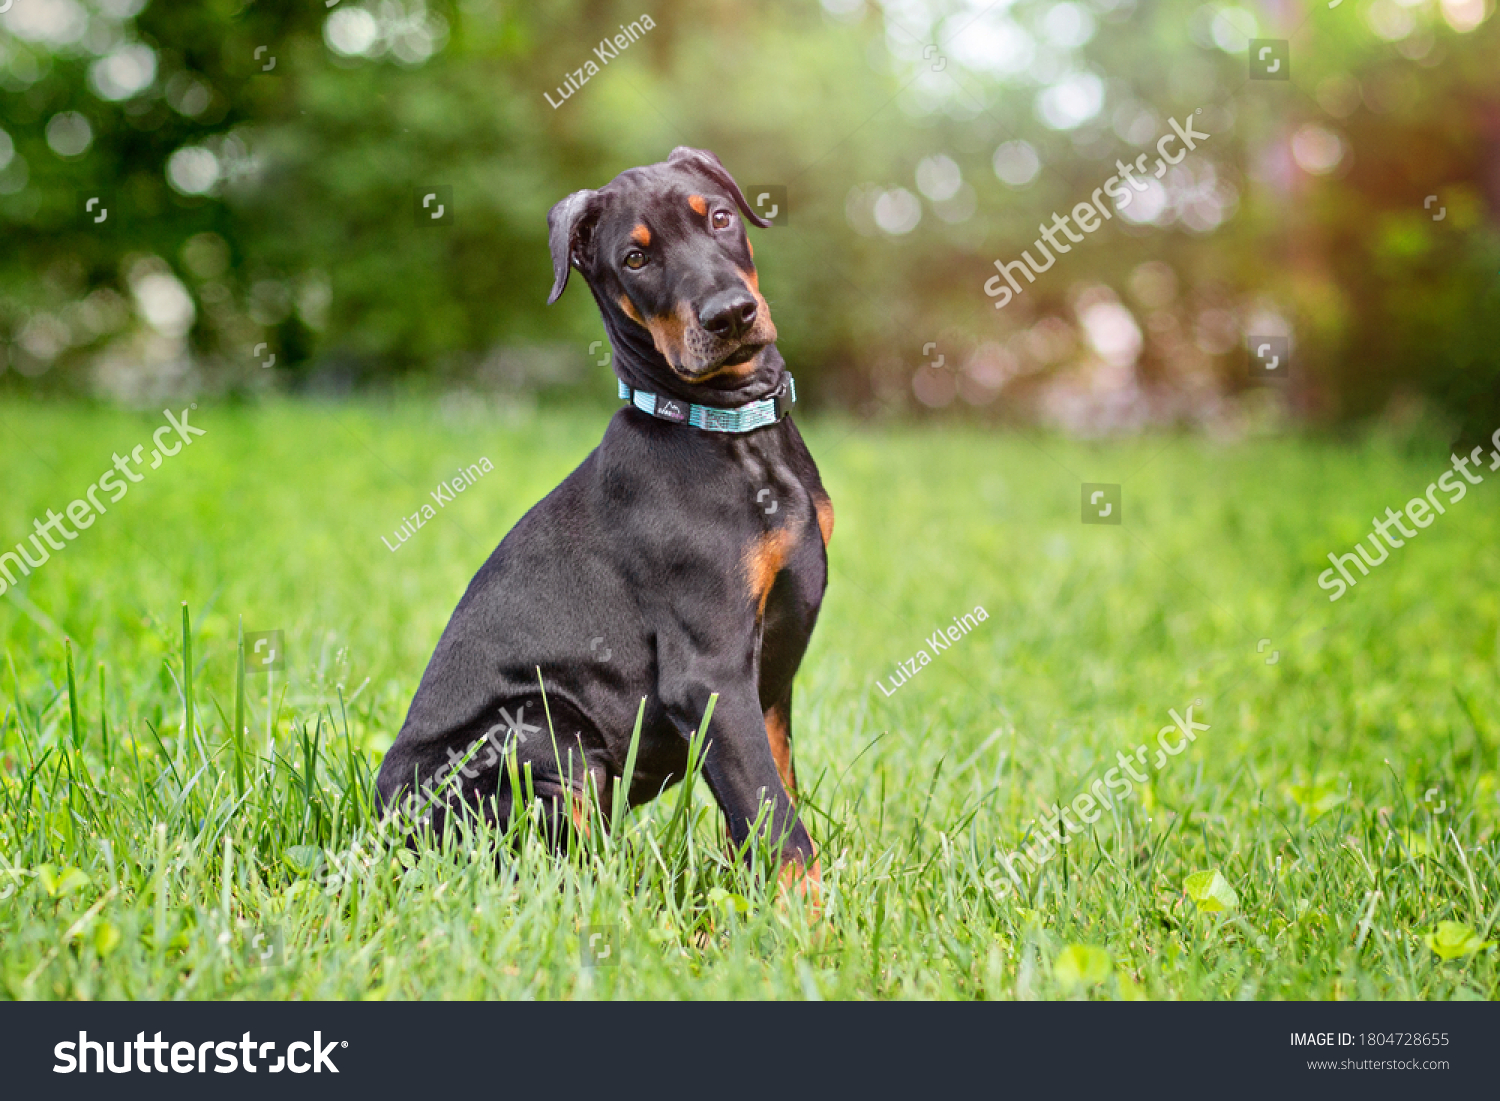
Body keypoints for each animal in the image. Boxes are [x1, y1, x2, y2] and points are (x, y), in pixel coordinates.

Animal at [375, 147, 834, 894]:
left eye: (721, 217)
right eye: (635, 259)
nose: (730, 315)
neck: (727, 428)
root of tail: (378, 832)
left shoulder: (769, 680)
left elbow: (773, 793)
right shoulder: (708, 669)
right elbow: (779, 826)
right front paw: (806, 919)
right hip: (539, 730)